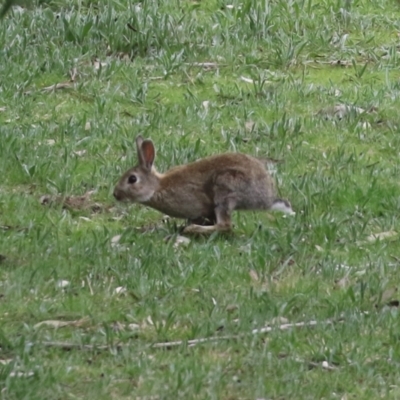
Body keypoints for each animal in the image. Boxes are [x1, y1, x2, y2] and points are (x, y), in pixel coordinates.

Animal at [112, 136, 294, 233]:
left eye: (132, 179)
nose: (115, 194)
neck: (158, 186)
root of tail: (267, 198)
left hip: (226, 189)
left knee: (225, 225)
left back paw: (193, 230)